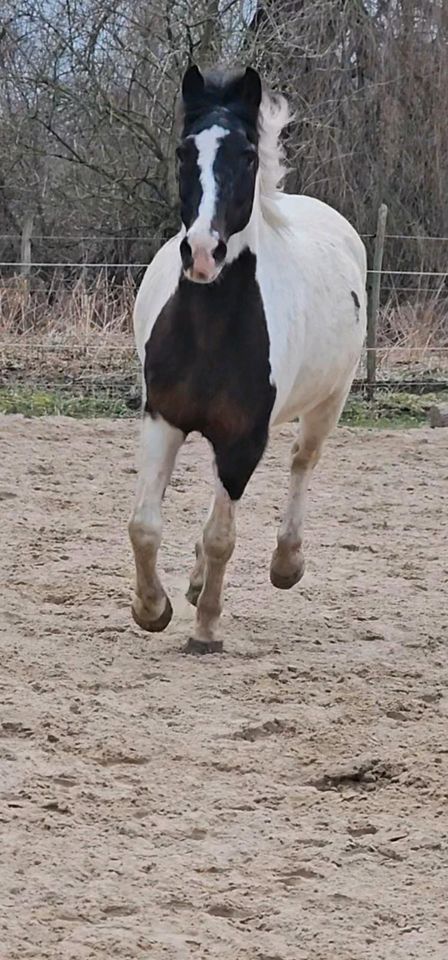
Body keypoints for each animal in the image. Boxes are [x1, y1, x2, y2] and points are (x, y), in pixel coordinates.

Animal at [130, 65, 368, 652]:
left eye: (246, 156)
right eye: (183, 151)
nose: (201, 253)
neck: (212, 334)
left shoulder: (243, 439)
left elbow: (222, 536)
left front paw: (206, 629)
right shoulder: (163, 419)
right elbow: (145, 525)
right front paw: (153, 609)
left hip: (329, 402)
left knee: (302, 462)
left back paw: (286, 564)